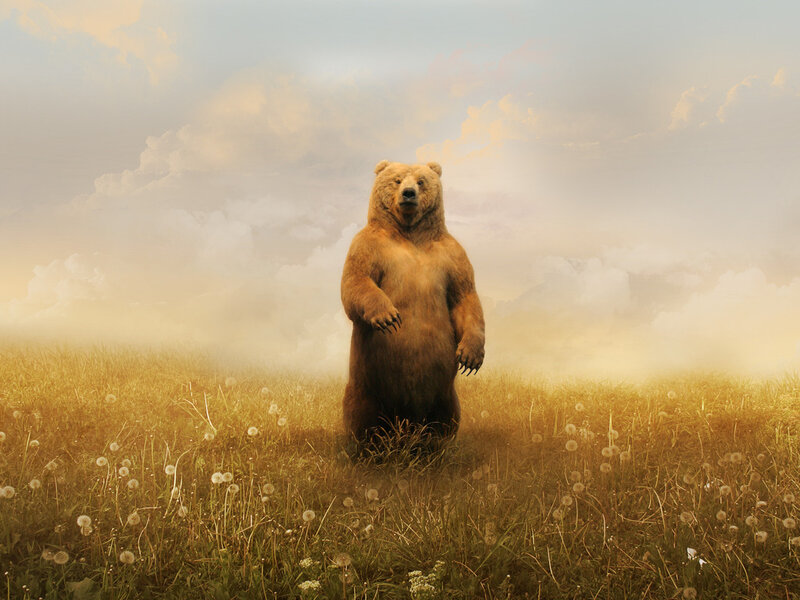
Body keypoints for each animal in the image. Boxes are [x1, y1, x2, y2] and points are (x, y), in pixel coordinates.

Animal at [341, 159, 485, 442]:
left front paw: (471, 356)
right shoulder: (368, 245)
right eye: (397, 180)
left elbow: (464, 296)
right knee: (361, 417)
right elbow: (356, 281)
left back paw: (435, 445)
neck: (409, 232)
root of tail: (407, 422)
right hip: (366, 386)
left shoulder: (451, 255)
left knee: (446, 419)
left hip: (444, 394)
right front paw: (389, 317)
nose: (408, 194)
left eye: (421, 181)